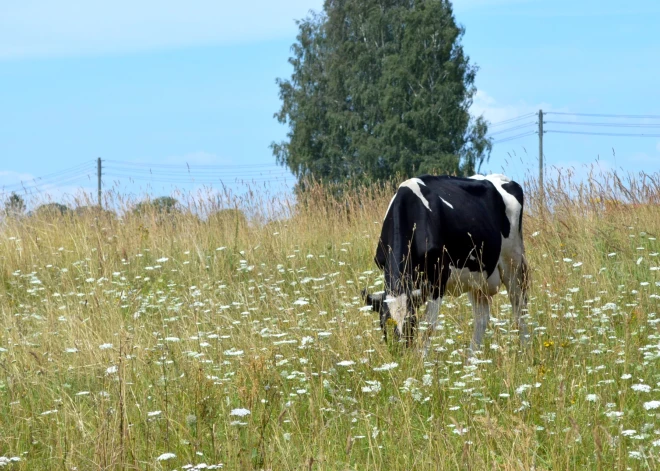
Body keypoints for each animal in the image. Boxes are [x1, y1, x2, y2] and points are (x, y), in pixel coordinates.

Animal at [364, 173, 528, 354]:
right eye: (383, 324)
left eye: (411, 323)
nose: (400, 353)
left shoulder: (438, 280)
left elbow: (428, 326)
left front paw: (422, 358)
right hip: (477, 279)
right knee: (481, 318)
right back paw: (472, 358)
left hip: (513, 263)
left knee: (519, 308)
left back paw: (524, 351)